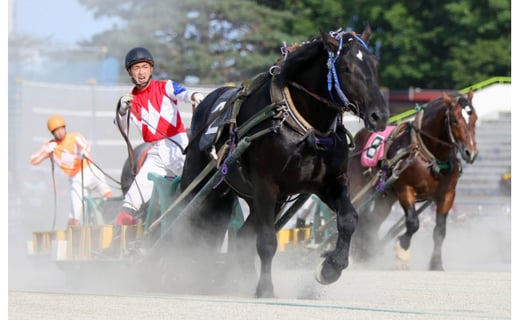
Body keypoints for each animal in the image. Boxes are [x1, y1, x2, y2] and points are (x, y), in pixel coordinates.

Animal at [179, 27, 386, 298]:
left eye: (374, 64)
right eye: (346, 67)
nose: (379, 114)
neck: (303, 128)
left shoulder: (331, 183)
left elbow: (349, 219)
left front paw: (331, 268)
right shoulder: (266, 185)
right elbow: (267, 241)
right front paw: (266, 288)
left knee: (242, 235)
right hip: (199, 182)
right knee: (184, 224)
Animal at [348, 90, 478, 270]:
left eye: (475, 119)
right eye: (454, 120)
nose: (470, 152)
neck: (428, 155)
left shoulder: (447, 194)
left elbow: (440, 230)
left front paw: (436, 264)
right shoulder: (405, 189)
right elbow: (413, 222)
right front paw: (402, 251)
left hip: (386, 198)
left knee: (373, 220)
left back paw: (365, 251)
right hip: (359, 189)